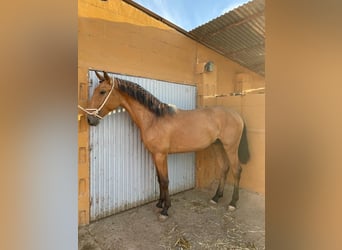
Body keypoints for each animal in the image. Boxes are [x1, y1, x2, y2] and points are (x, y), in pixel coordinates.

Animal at [79, 71, 250, 221]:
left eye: (102, 92)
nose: (89, 119)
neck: (154, 119)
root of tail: (237, 114)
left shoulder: (161, 155)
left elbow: (165, 180)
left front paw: (165, 210)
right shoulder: (155, 155)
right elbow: (159, 179)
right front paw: (160, 204)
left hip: (230, 147)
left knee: (236, 170)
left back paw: (232, 203)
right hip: (217, 146)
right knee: (224, 168)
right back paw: (216, 197)